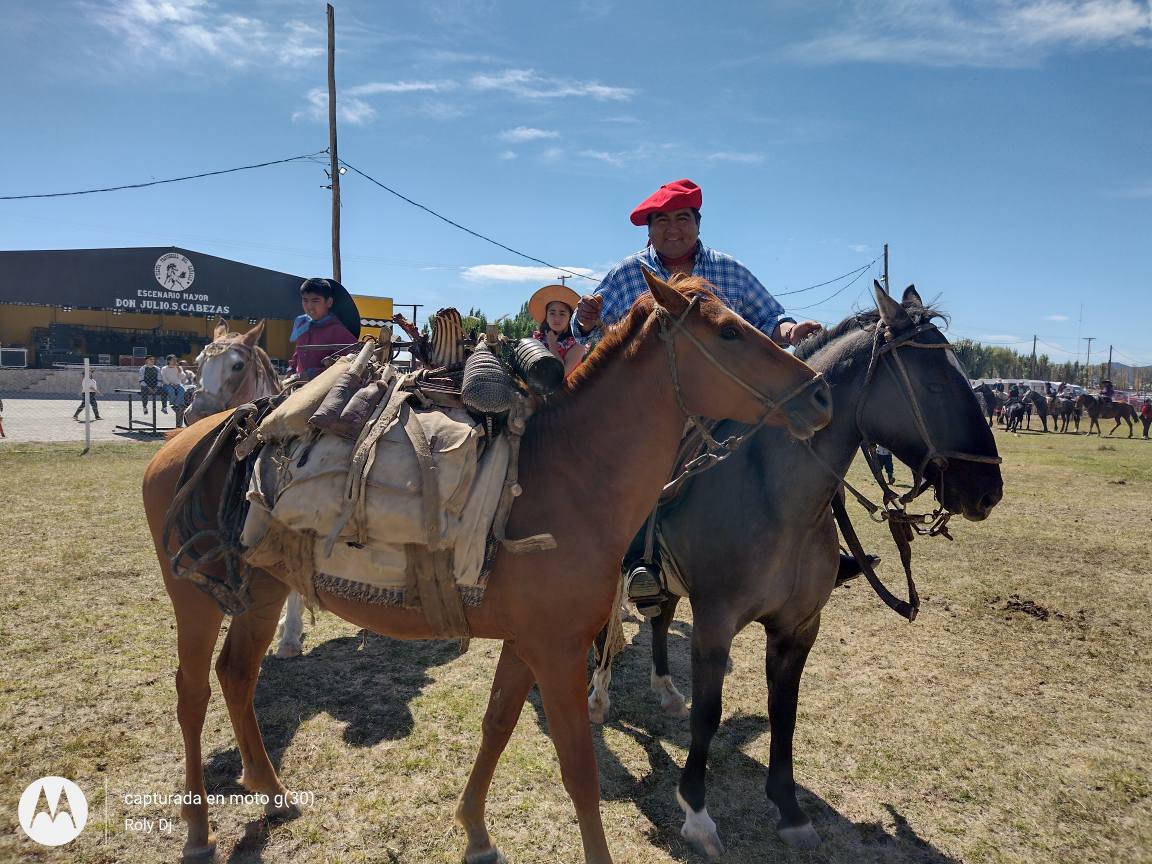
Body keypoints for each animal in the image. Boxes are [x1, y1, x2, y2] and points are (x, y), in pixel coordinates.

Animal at [144, 275, 834, 864]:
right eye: (728, 333)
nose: (820, 394)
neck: (571, 477)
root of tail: (191, 440)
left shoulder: (529, 644)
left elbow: (497, 725)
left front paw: (475, 831)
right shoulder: (557, 650)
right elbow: (578, 769)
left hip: (262, 592)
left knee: (236, 676)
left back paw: (274, 793)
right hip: (194, 600)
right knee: (193, 692)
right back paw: (199, 831)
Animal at [589, 285, 1004, 861]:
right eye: (937, 381)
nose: (988, 490)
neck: (777, 502)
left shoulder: (800, 626)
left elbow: (784, 710)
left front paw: (789, 810)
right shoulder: (715, 622)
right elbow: (708, 713)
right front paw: (697, 813)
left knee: (658, 616)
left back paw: (665, 688)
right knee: (605, 630)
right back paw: (598, 696)